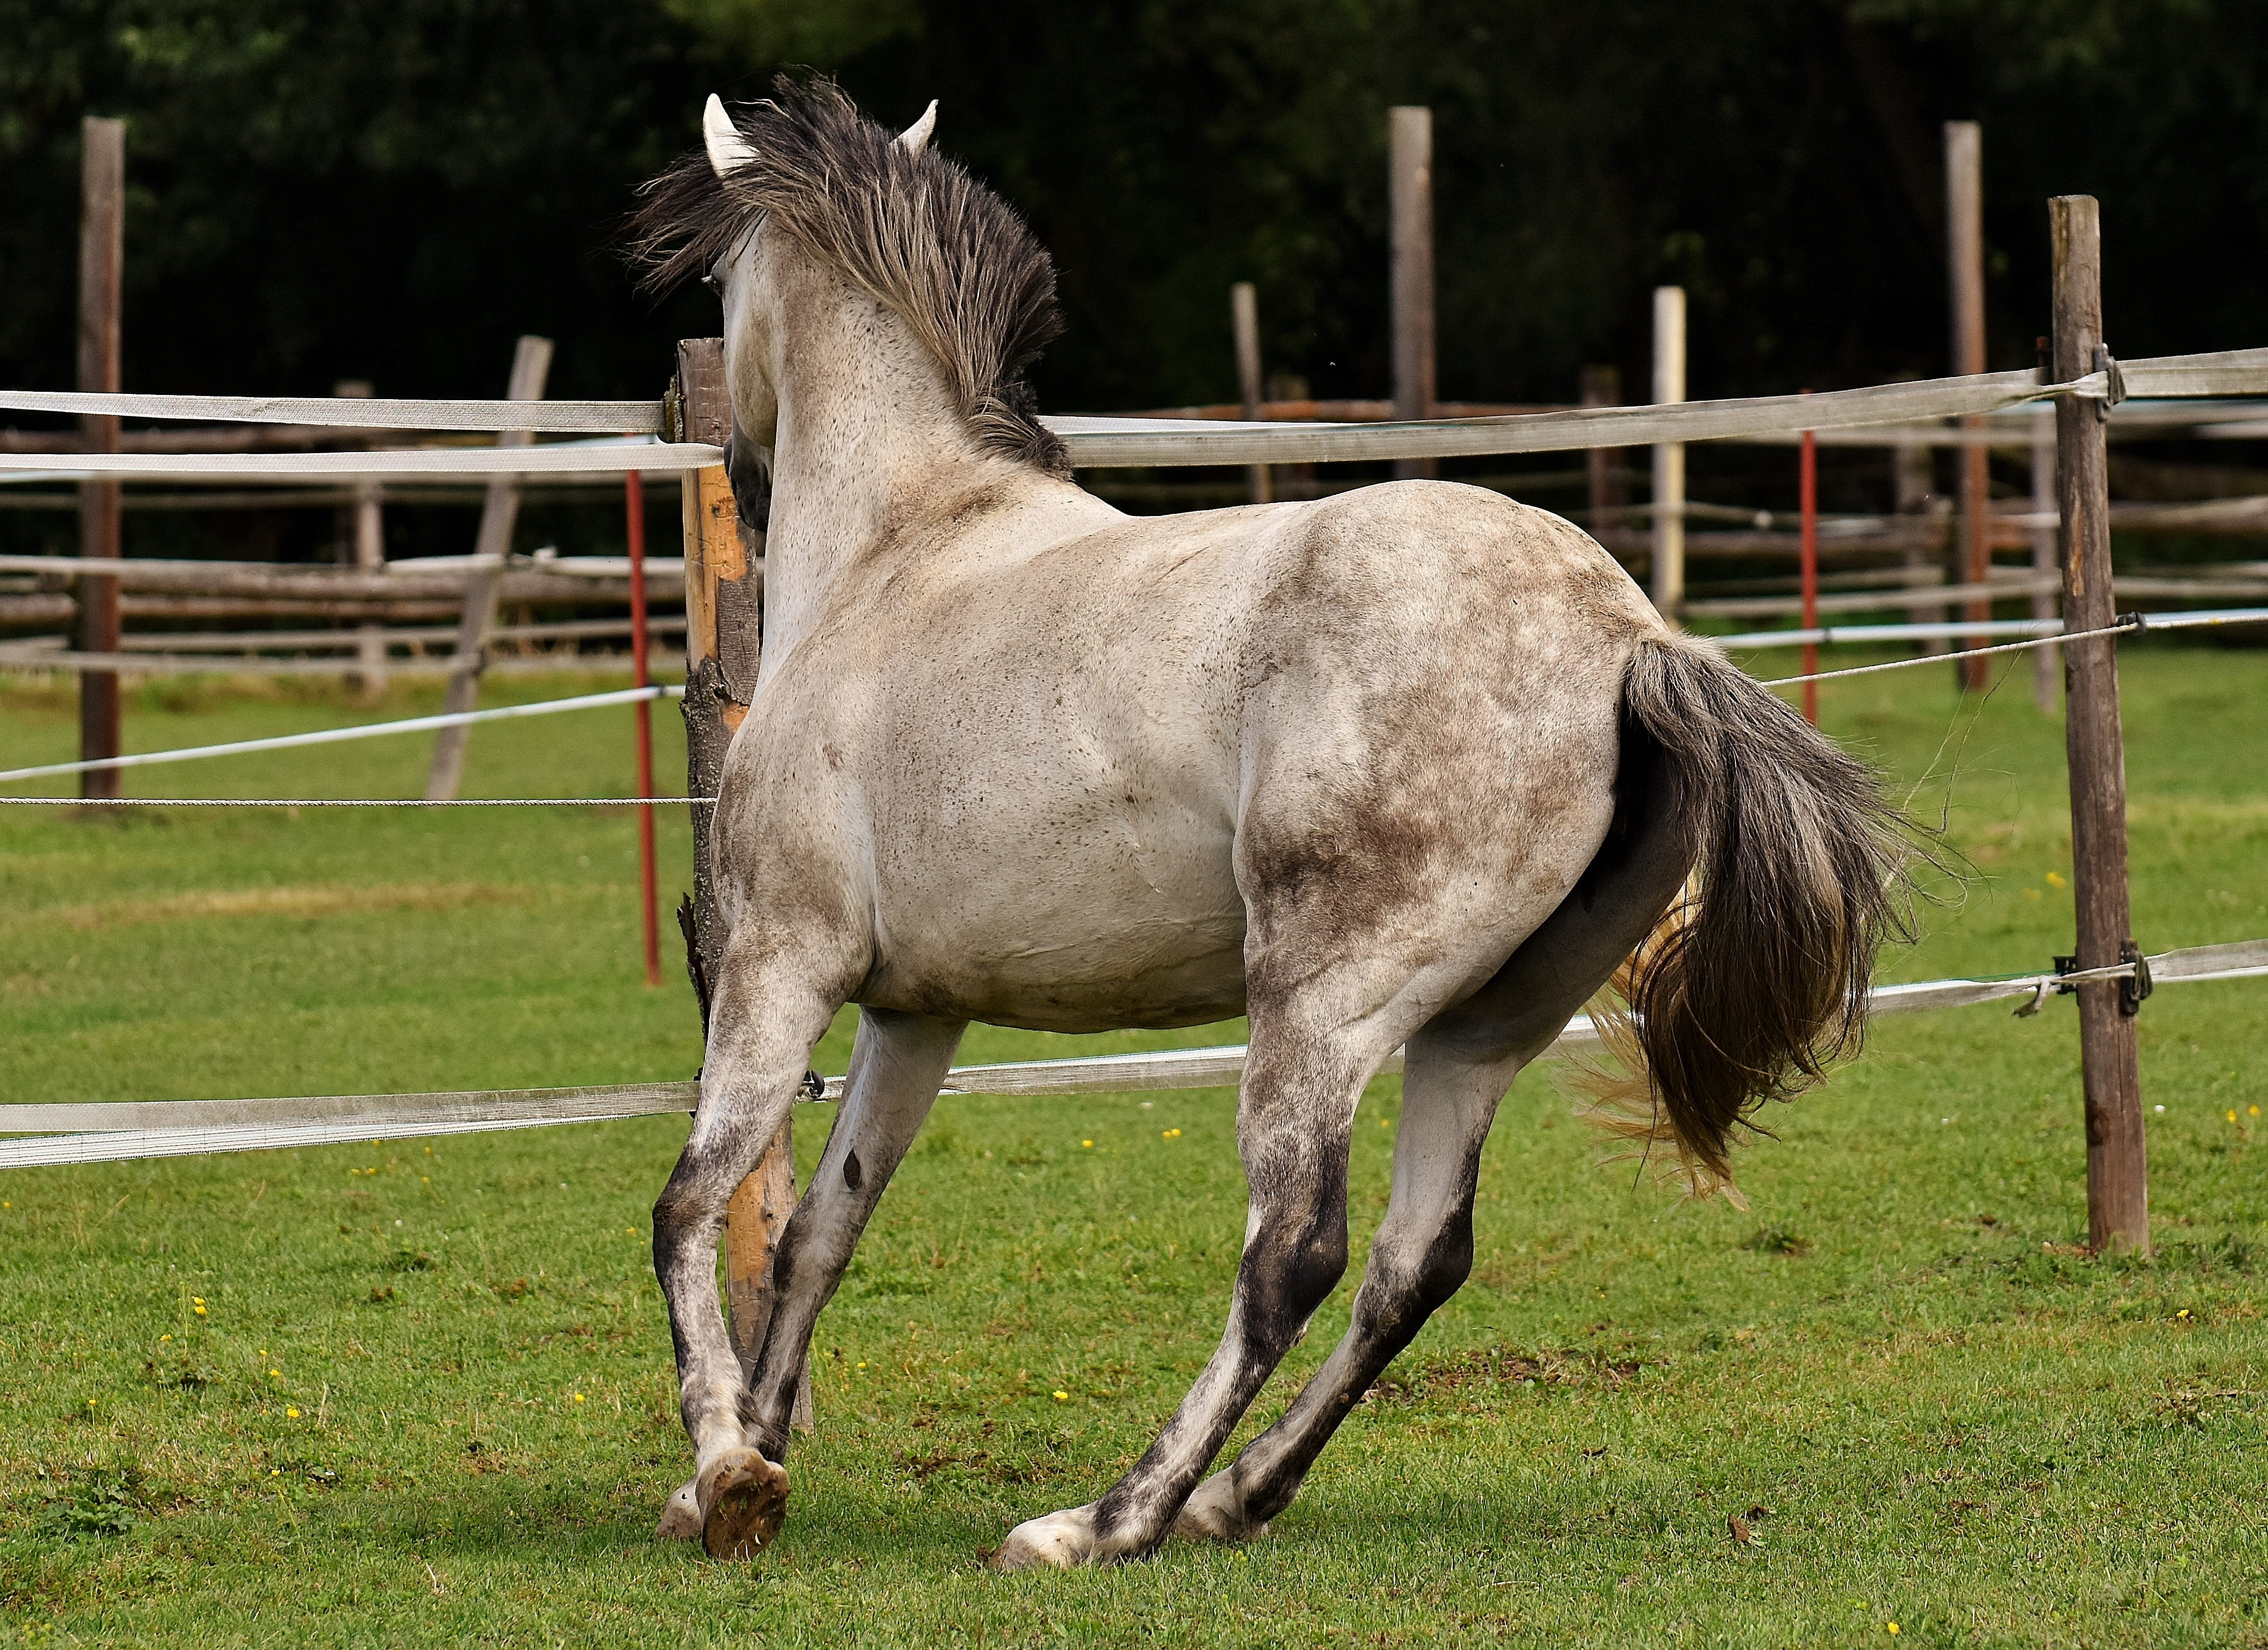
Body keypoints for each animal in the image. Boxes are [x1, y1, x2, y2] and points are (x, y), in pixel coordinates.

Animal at [626, 77, 1907, 1570]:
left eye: (717, 284)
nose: (734, 458)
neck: (902, 552)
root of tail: (1626, 637)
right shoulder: (914, 1012)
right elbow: (825, 1229)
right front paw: (754, 1455)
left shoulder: (782, 961)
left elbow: (691, 1201)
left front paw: (725, 1473)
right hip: (1480, 1029)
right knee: (1416, 1263)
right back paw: (1233, 1497)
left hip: (1319, 1011)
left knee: (1293, 1252)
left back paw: (1104, 1520)